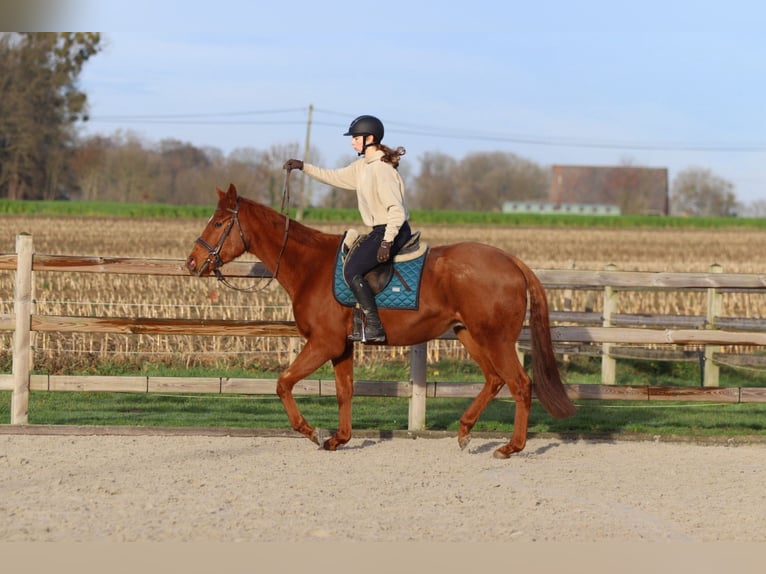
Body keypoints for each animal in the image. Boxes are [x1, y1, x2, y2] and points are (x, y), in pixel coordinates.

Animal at [186, 183, 576, 458]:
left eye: (219, 222)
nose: (192, 263)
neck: (311, 266)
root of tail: (512, 262)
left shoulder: (324, 343)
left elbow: (283, 383)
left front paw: (312, 432)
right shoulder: (341, 346)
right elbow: (344, 391)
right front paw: (339, 438)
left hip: (495, 339)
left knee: (520, 384)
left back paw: (511, 447)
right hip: (469, 334)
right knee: (495, 380)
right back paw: (466, 430)